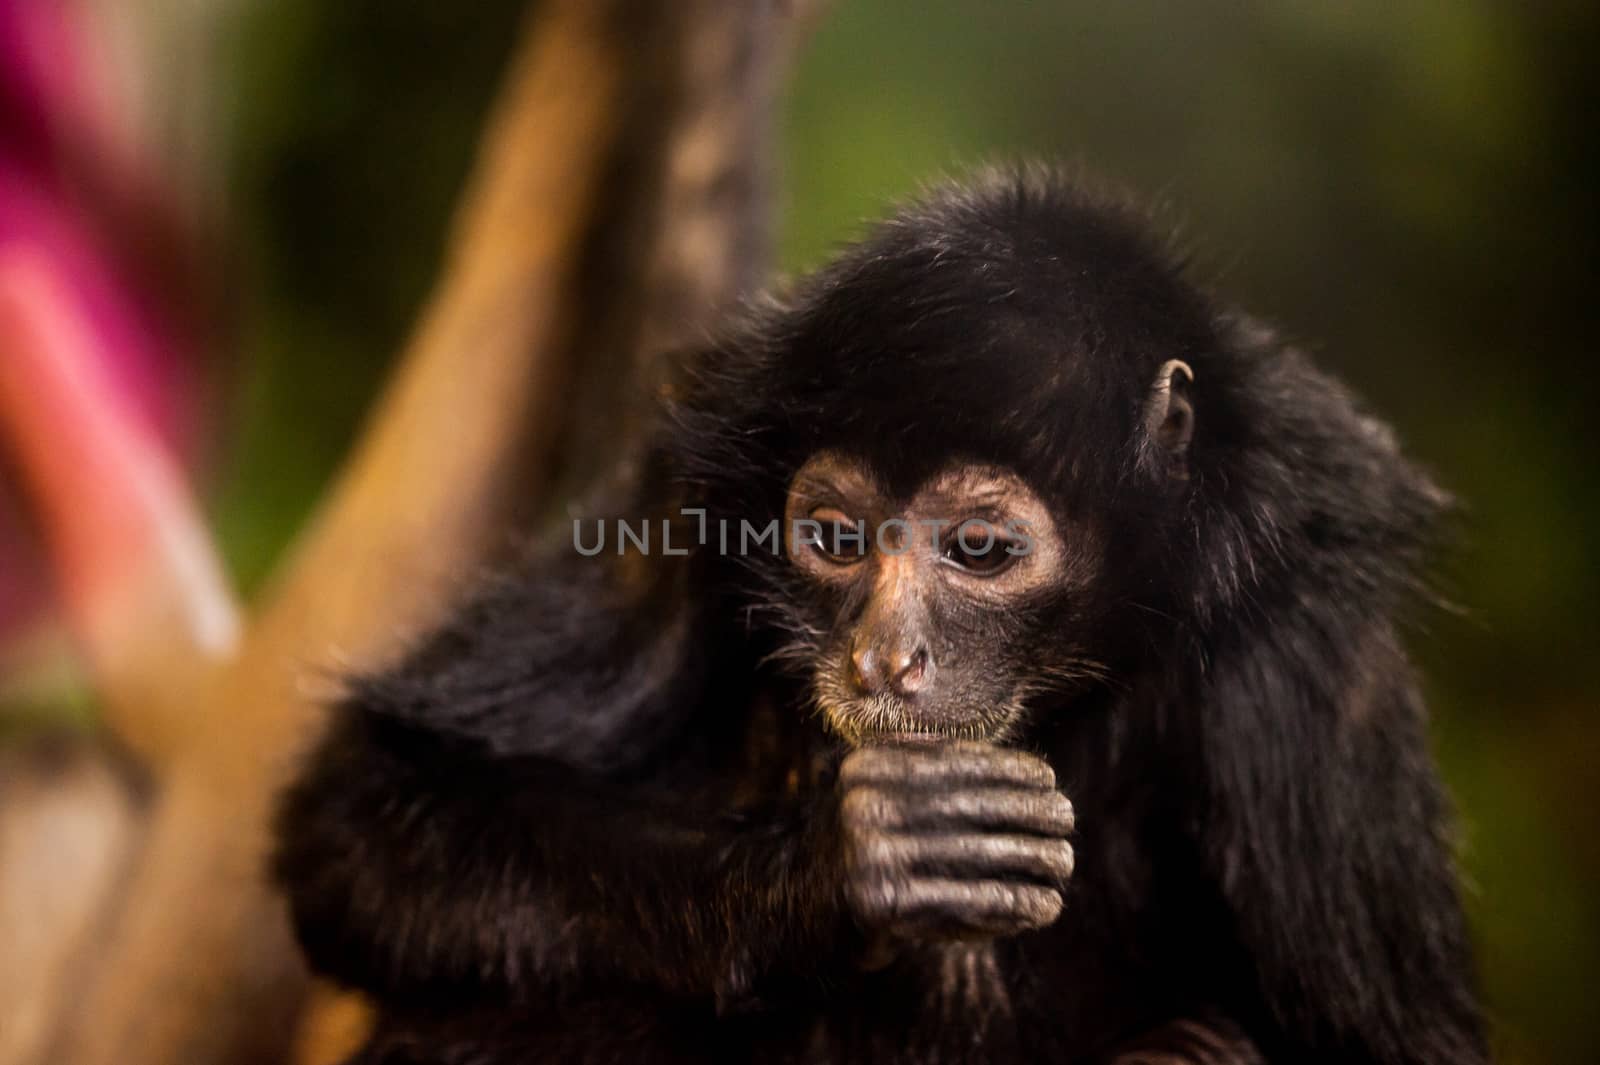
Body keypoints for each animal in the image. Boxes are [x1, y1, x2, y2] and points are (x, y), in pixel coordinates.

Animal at [272, 170, 1484, 1055]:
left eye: (980, 550)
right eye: (839, 539)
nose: (884, 659)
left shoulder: (1304, 643)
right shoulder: (675, 493)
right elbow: (363, 806)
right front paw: (846, 871)